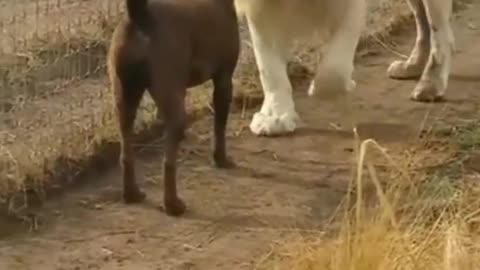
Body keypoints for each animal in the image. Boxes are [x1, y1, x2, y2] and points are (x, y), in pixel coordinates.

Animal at [107, 0, 238, 216]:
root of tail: (140, 15)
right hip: (172, 101)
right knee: (168, 162)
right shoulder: (224, 80)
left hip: (124, 99)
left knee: (126, 152)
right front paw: (220, 159)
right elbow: (219, 128)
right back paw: (172, 204)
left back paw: (132, 194)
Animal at [234, 0, 456, 136]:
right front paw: (275, 117)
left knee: (441, 32)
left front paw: (343, 84)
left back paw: (430, 84)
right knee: (423, 22)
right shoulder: (261, 8)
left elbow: (333, 72)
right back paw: (412, 66)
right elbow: (269, 69)